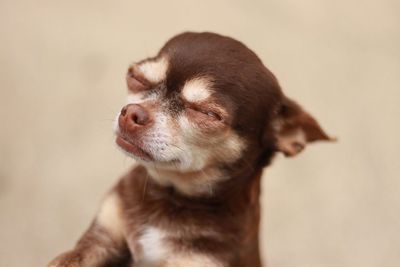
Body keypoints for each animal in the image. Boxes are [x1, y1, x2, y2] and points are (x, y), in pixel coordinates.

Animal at [48, 32, 332, 266]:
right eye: (136, 77)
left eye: (206, 113)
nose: (131, 113)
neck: (170, 196)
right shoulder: (103, 235)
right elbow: (65, 261)